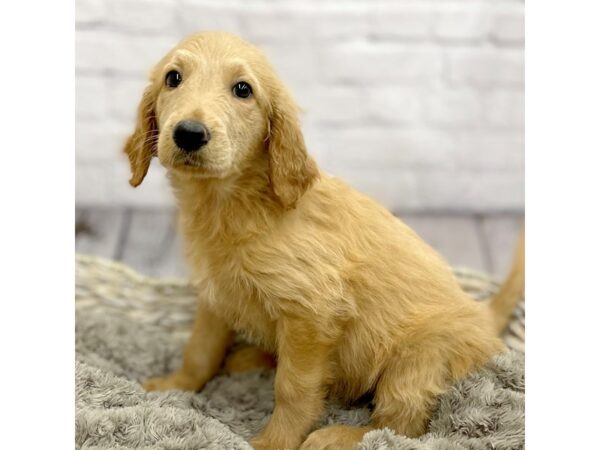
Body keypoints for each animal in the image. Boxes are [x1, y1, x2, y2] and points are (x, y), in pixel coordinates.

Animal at [124, 32, 524, 450]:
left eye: (243, 89)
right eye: (173, 78)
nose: (189, 133)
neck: (233, 205)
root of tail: (482, 314)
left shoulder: (311, 316)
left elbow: (293, 388)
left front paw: (274, 441)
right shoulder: (215, 295)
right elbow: (199, 350)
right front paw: (175, 385)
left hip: (417, 360)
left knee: (401, 424)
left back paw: (337, 436)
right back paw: (251, 358)